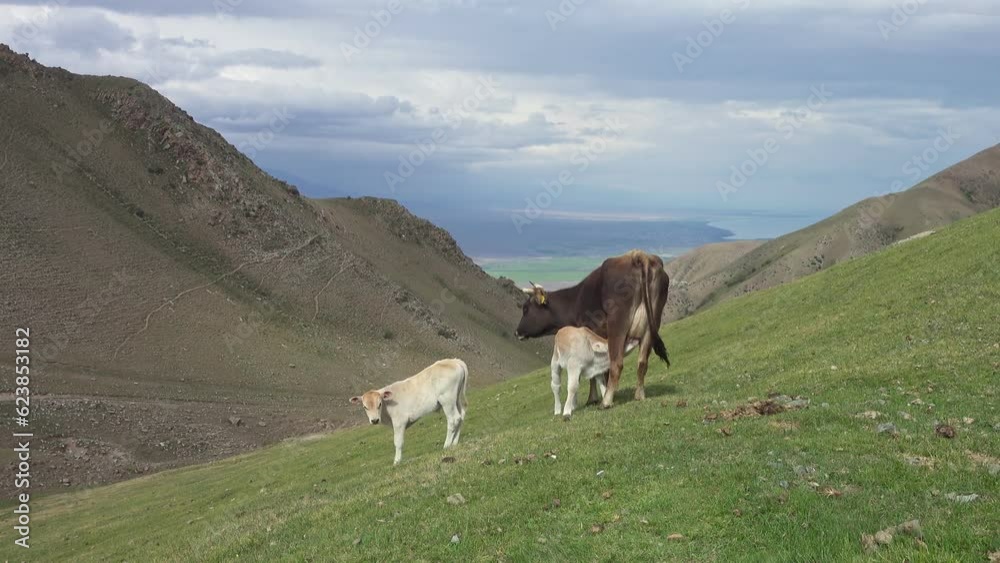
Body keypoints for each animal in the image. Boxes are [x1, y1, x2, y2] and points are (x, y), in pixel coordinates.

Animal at [514, 249, 670, 408]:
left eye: (525, 309)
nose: (517, 332)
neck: (573, 301)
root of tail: (637, 255)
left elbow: (594, 373)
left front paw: (594, 398)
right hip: (651, 327)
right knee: (642, 362)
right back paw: (639, 395)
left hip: (617, 326)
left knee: (617, 363)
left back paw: (606, 402)